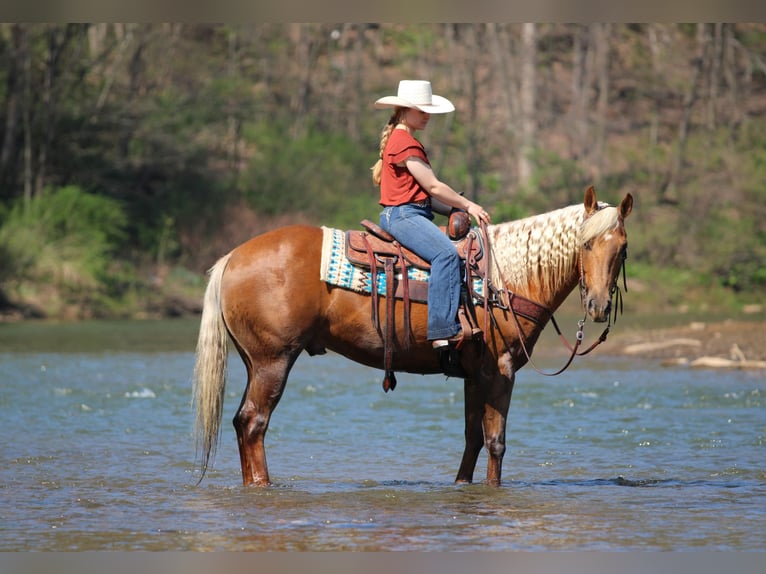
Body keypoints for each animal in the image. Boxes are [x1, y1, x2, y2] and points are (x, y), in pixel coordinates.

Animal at [193, 185, 633, 486]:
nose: (597, 306)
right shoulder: (501, 371)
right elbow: (496, 442)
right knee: (254, 423)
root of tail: (232, 257)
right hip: (274, 360)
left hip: (255, 361)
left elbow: (472, 439)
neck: (505, 280)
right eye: (585, 244)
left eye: (623, 249)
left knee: (241, 422)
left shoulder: (475, 374)